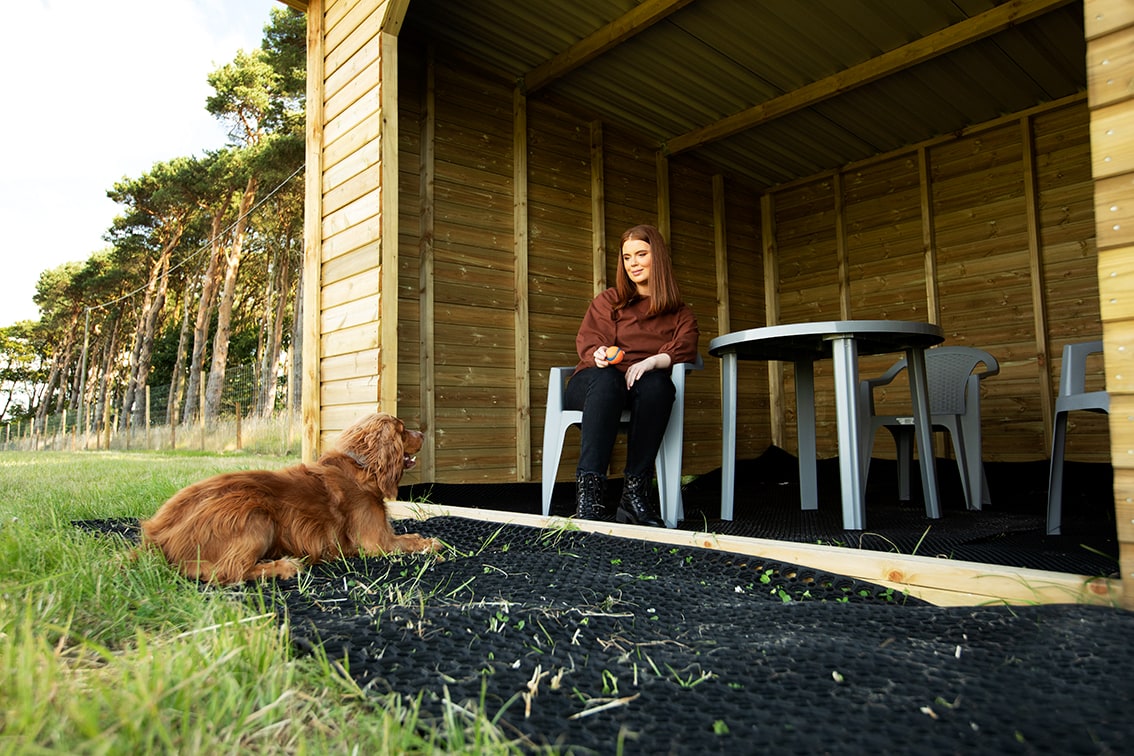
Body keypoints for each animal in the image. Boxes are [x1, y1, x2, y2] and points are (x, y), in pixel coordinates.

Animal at [140, 414, 437, 584]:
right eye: (402, 430)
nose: (423, 433)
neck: (361, 466)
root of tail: (157, 535)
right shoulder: (376, 542)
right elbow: (409, 541)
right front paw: (430, 543)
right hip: (256, 516)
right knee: (226, 571)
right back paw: (284, 566)